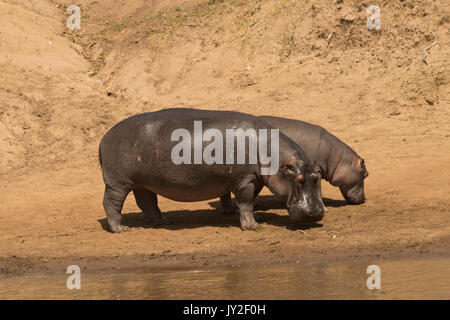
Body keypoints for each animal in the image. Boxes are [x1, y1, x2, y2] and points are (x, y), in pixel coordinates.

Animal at [98, 108, 326, 232]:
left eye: (317, 177)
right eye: (298, 179)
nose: (316, 213)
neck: (275, 156)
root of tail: (104, 137)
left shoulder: (256, 179)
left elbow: (249, 202)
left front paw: (256, 219)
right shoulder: (246, 180)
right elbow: (245, 202)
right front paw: (252, 227)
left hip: (143, 183)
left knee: (147, 203)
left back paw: (164, 222)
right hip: (118, 183)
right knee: (111, 203)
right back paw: (120, 228)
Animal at [220, 115, 368, 212]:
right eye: (366, 174)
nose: (364, 199)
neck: (338, 158)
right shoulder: (316, 172)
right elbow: (318, 191)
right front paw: (324, 209)